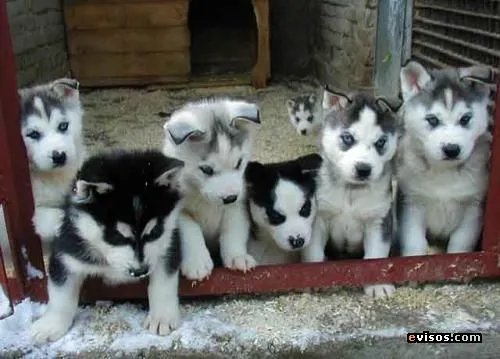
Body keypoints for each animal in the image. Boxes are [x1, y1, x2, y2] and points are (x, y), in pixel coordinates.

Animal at [30, 149, 186, 344]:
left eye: (155, 231)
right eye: (115, 236)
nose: (140, 271)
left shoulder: (168, 244)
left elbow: (163, 283)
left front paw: (161, 317)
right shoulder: (67, 252)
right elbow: (61, 293)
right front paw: (51, 324)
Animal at [162, 98, 262, 282]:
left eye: (239, 163)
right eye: (207, 170)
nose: (230, 197)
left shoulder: (238, 206)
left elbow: (234, 230)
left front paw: (237, 256)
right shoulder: (179, 213)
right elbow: (191, 231)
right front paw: (197, 263)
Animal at [300, 88, 402, 300]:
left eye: (381, 142)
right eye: (347, 138)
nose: (363, 169)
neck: (351, 191)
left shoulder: (378, 221)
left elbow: (376, 256)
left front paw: (377, 285)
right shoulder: (318, 220)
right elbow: (313, 253)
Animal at [396, 62, 494, 258]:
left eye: (465, 118)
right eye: (432, 120)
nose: (451, 149)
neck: (444, 174)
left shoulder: (473, 208)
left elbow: (460, 244)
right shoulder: (411, 204)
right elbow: (414, 245)